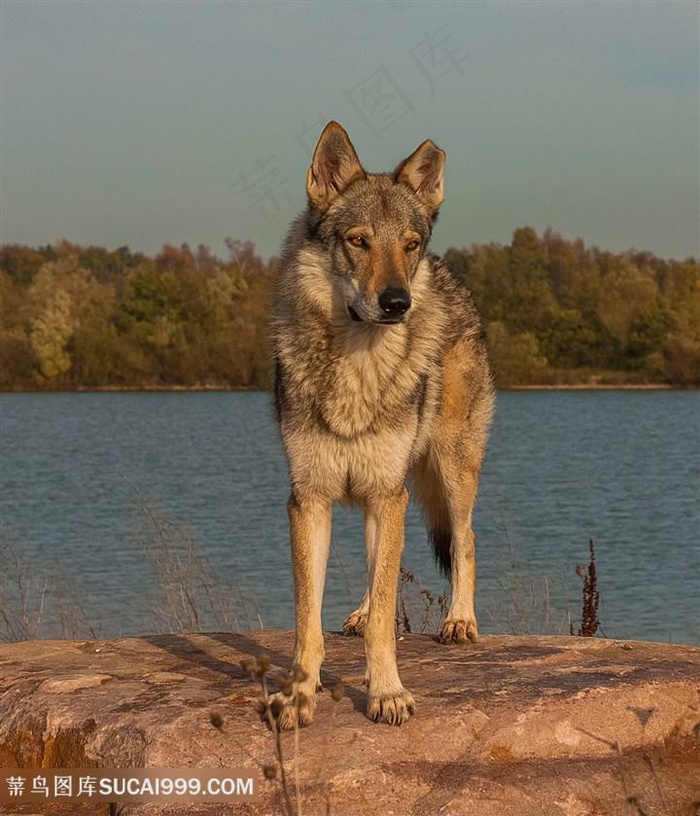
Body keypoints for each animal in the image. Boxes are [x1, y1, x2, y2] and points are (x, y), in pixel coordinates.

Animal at [270, 121, 494, 728]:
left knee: (465, 539)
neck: (357, 366)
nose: (397, 302)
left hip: (446, 472)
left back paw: (459, 622)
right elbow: (308, 618)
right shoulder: (310, 498)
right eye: (359, 241)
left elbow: (384, 623)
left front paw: (387, 692)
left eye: (408, 244)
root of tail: (450, 276)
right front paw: (300, 694)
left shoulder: (386, 492)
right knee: (383, 578)